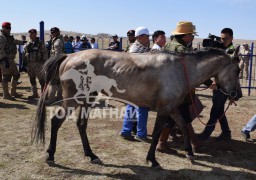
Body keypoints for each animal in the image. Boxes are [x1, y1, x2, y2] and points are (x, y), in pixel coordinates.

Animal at [32, 47, 242, 167]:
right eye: (237, 70)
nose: (237, 94)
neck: (180, 70)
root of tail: (69, 56)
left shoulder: (172, 108)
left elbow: (183, 124)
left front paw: (190, 153)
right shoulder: (164, 110)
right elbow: (156, 133)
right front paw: (153, 160)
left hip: (87, 100)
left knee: (81, 125)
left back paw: (91, 155)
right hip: (75, 100)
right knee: (56, 121)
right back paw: (50, 155)